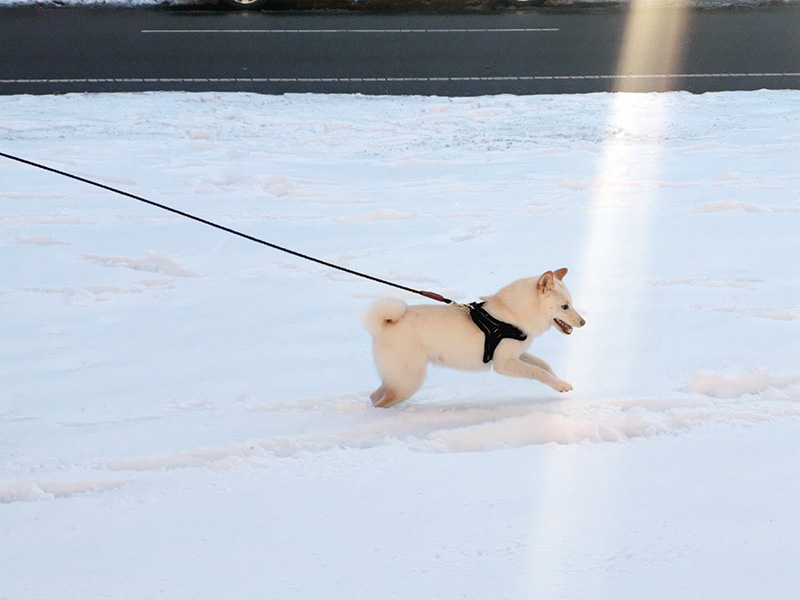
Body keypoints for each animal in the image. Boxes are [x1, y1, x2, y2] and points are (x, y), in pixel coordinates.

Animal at [366, 270, 584, 408]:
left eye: (572, 304)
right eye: (565, 307)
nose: (583, 322)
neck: (511, 313)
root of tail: (384, 324)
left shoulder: (516, 354)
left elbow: (544, 365)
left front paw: (559, 381)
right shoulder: (504, 363)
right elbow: (537, 371)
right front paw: (561, 385)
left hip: (399, 376)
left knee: (375, 395)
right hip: (410, 380)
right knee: (383, 401)